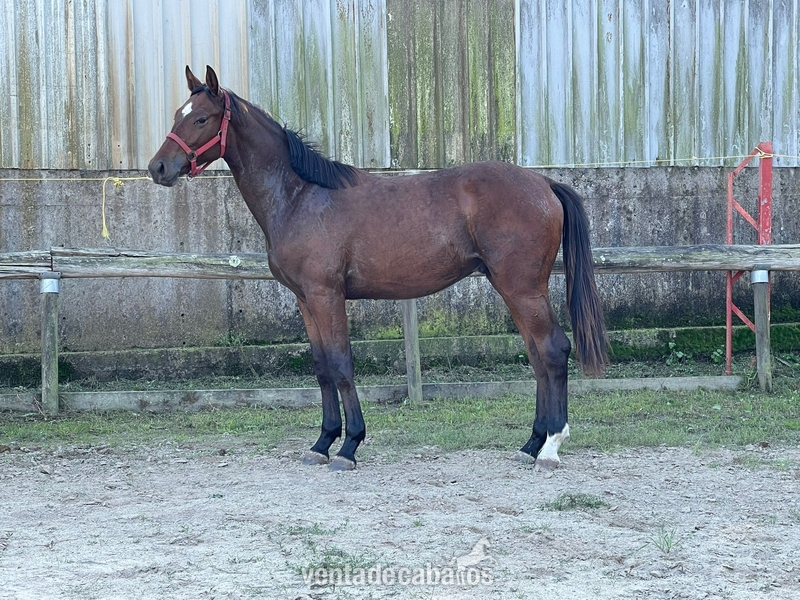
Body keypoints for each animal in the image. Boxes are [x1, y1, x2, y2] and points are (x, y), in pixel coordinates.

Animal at [148, 66, 608, 471]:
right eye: (176, 116)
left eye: (202, 118)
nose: (158, 168)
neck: (300, 196)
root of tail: (544, 183)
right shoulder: (305, 300)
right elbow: (321, 369)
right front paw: (322, 443)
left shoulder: (327, 295)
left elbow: (341, 365)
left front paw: (349, 446)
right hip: (511, 288)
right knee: (537, 356)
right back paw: (530, 444)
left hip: (523, 288)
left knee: (552, 350)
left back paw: (550, 448)